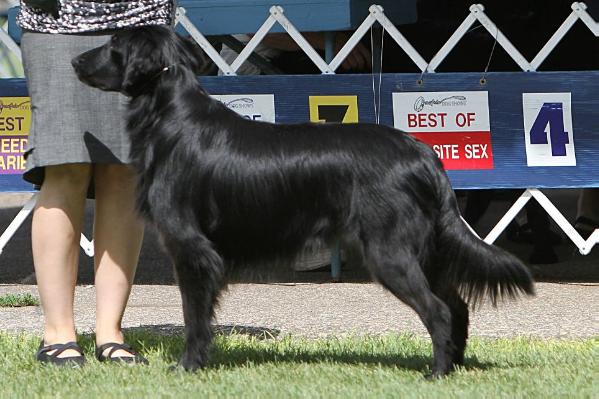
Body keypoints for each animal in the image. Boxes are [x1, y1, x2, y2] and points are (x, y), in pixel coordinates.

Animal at [72, 25, 536, 378]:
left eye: (113, 45)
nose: (75, 62)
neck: (170, 117)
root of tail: (422, 152)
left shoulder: (192, 249)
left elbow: (194, 317)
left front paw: (188, 366)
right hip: (425, 251)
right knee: (457, 306)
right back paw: (455, 367)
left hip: (389, 252)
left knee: (439, 310)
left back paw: (437, 373)